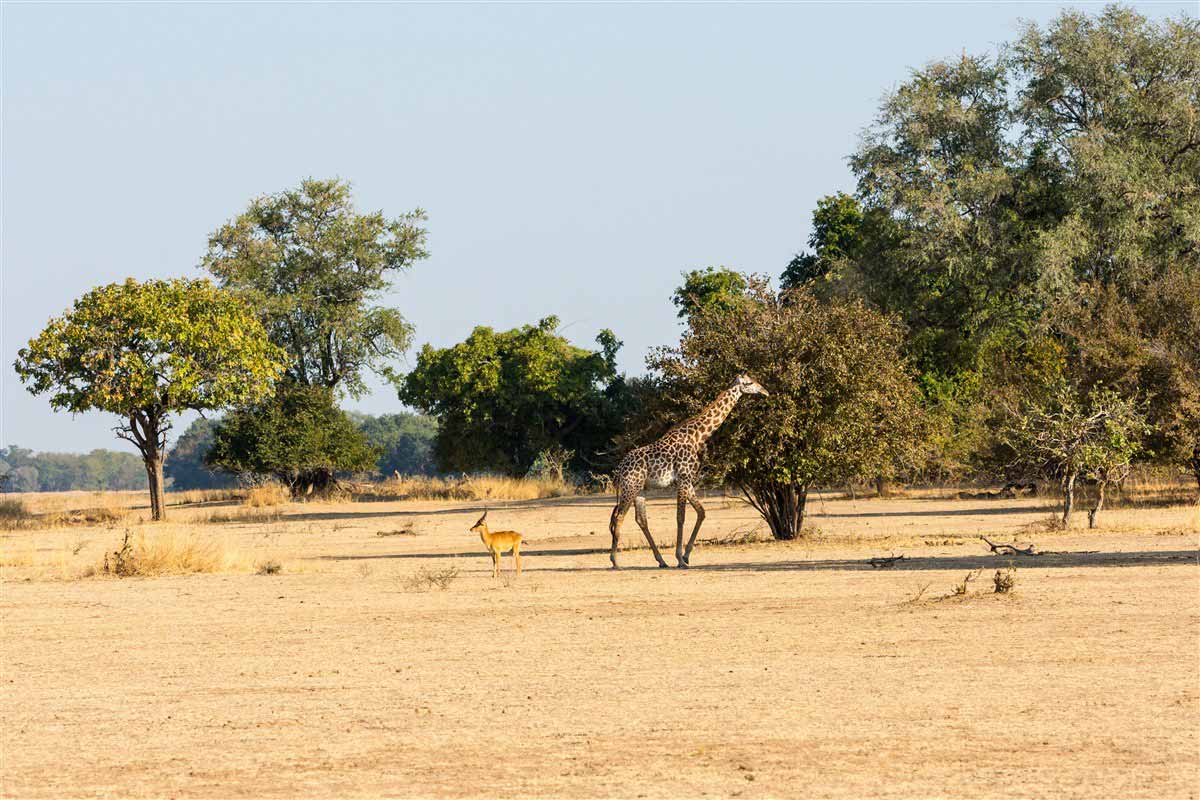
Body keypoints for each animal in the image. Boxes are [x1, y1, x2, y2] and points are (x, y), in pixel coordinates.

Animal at [609, 376, 768, 568]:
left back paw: (661, 561)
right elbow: (681, 517)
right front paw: (680, 559)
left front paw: (685, 556)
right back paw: (615, 562)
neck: (697, 437)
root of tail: (619, 470)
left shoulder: (687, 480)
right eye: (750, 383)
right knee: (619, 517)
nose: (765, 391)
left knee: (641, 520)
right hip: (630, 487)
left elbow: (701, 512)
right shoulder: (684, 478)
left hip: (640, 490)